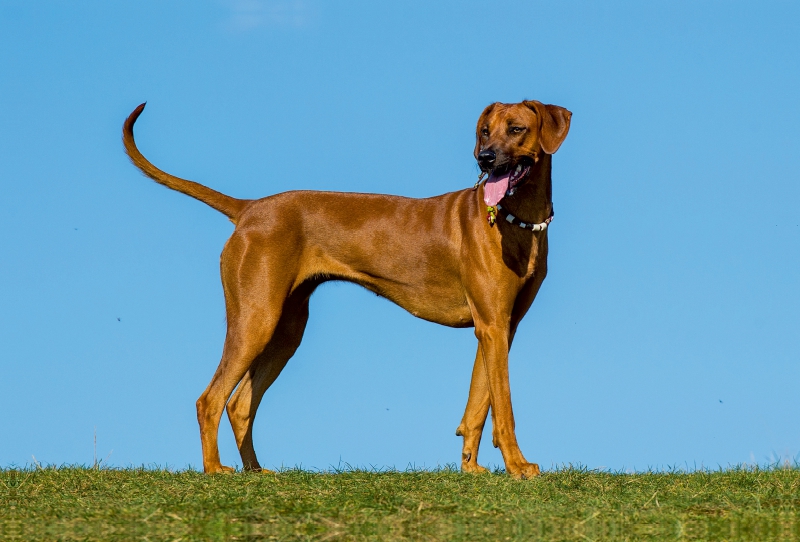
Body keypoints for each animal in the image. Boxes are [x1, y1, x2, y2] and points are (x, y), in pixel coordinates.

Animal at [122, 100, 568, 478]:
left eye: (515, 129)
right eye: (484, 132)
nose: (484, 158)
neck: (515, 217)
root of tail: (249, 208)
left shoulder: (498, 328)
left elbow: (479, 403)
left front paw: (471, 468)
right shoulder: (492, 326)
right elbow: (504, 408)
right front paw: (518, 466)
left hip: (285, 329)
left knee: (240, 402)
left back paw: (256, 471)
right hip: (255, 320)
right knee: (210, 399)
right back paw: (214, 470)